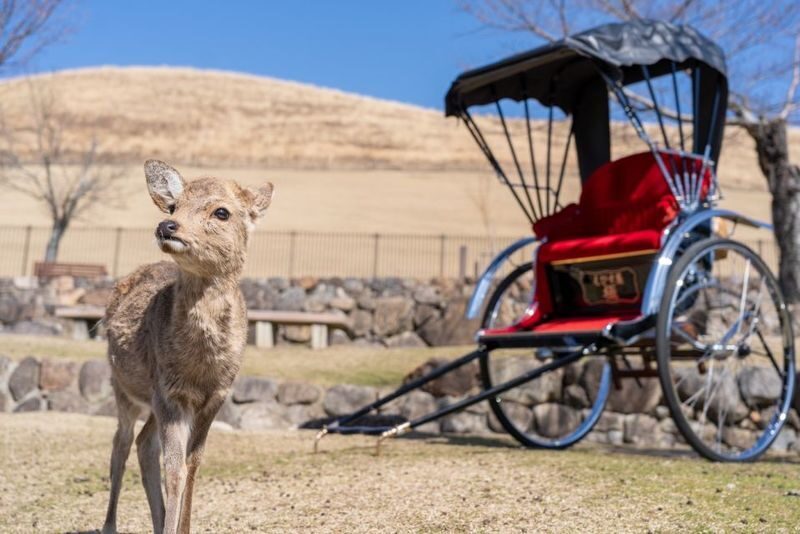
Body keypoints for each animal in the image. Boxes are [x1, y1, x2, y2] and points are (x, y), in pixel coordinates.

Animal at [101, 160, 274, 534]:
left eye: (222, 212)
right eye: (173, 206)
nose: (167, 226)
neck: (200, 367)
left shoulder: (216, 396)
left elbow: (193, 465)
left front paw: (183, 526)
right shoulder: (171, 393)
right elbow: (175, 468)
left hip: (150, 399)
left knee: (143, 443)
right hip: (123, 385)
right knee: (121, 444)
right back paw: (110, 526)